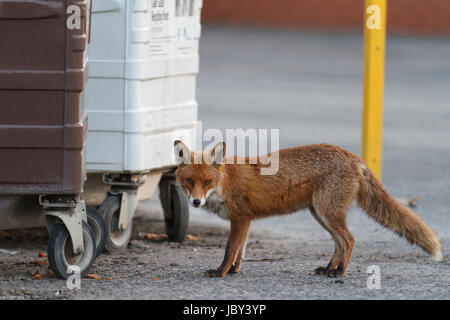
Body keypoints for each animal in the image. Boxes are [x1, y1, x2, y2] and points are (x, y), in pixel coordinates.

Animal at [173, 140, 442, 278]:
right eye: (190, 181)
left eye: (207, 182)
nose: (196, 202)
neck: (226, 181)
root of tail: (353, 156)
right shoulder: (246, 220)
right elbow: (240, 251)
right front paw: (233, 271)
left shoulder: (240, 217)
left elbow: (230, 249)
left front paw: (220, 272)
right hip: (320, 214)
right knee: (339, 242)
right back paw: (329, 268)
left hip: (327, 213)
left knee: (349, 239)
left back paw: (339, 272)